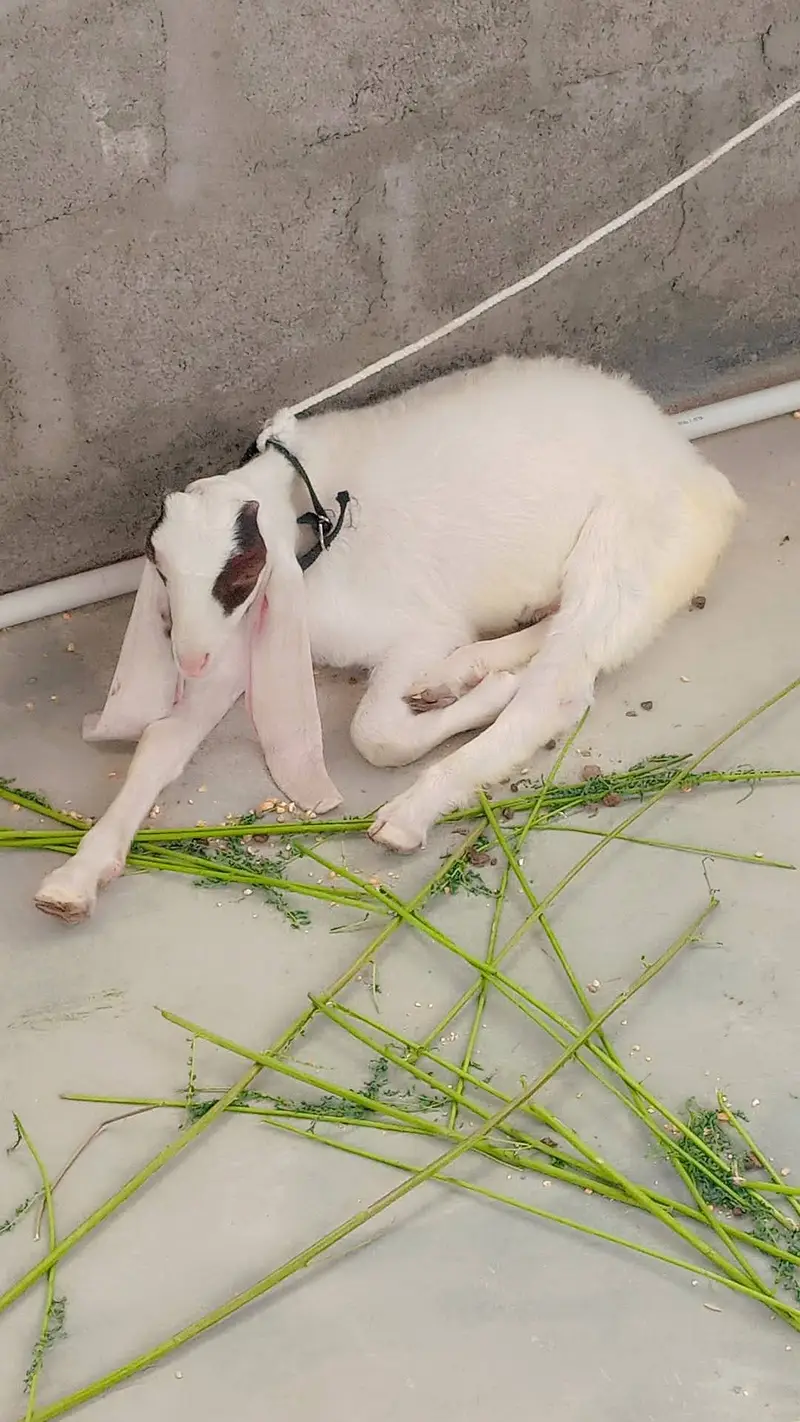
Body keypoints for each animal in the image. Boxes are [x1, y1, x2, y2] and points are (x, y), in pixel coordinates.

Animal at [34, 355, 743, 922]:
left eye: (238, 573)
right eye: (156, 564)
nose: (191, 659)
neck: (312, 521)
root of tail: (698, 471)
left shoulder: (418, 627)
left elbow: (373, 733)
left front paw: (467, 703)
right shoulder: (247, 646)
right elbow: (160, 741)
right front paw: (74, 878)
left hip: (620, 554)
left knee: (557, 694)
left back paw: (411, 808)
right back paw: (460, 674)